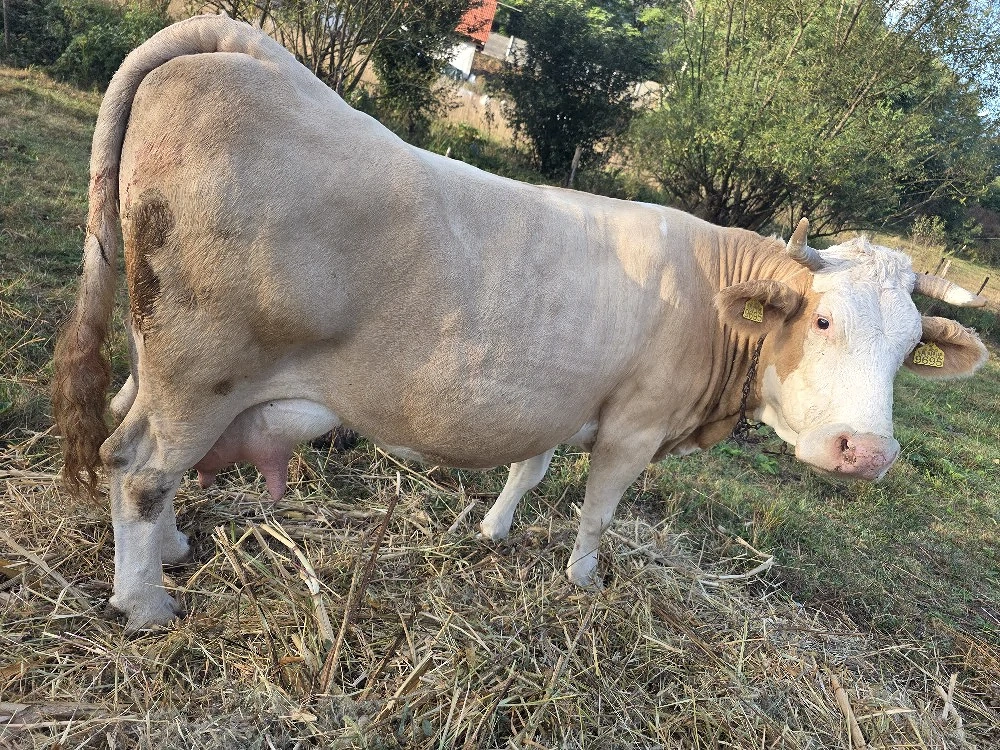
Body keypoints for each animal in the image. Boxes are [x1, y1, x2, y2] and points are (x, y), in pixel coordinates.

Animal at [52, 16, 989, 630]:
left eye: (911, 347)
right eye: (822, 320)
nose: (865, 453)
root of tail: (237, 54)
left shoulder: (561, 398)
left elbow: (528, 470)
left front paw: (493, 529)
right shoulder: (635, 425)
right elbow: (598, 512)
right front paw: (582, 581)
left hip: (163, 356)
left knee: (144, 442)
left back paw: (172, 548)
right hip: (201, 364)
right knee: (138, 465)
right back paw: (145, 601)